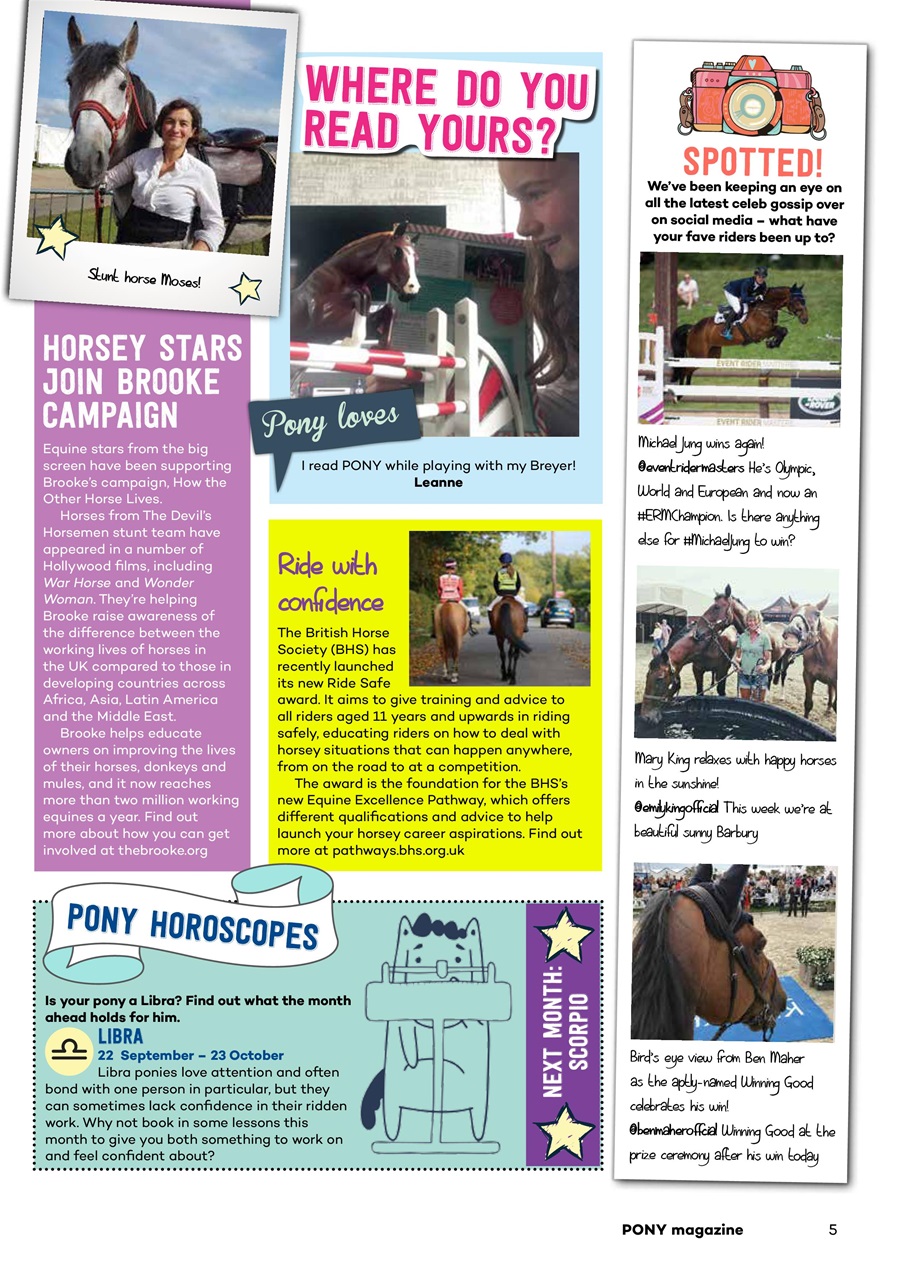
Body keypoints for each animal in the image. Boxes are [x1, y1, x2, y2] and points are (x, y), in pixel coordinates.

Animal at [290, 224, 421, 345]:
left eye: (417, 258)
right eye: (397, 252)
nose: (412, 290)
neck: (342, 277)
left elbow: (389, 309)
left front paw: (382, 344)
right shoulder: (320, 323)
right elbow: (362, 297)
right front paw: (350, 342)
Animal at [671, 285, 809, 386]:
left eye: (804, 300)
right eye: (797, 300)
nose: (805, 319)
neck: (764, 308)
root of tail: (692, 328)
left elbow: (783, 330)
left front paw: (773, 343)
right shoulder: (759, 334)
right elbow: (781, 330)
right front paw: (772, 342)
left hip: (711, 355)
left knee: (688, 370)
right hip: (699, 354)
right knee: (684, 369)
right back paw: (678, 395)